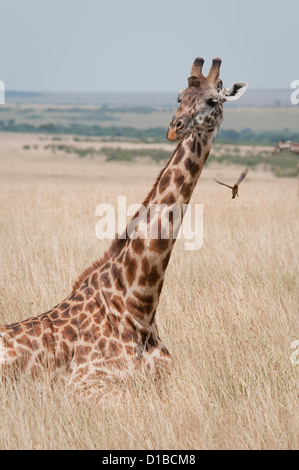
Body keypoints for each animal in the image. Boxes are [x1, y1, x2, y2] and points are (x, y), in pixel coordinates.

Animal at [0, 57, 248, 398]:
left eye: (213, 100)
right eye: (179, 96)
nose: (174, 127)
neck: (138, 303)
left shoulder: (170, 377)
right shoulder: (85, 384)